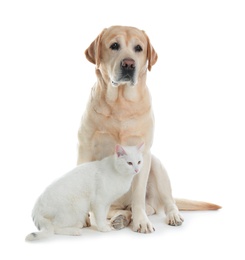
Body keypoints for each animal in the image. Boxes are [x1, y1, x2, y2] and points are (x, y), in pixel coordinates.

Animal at [76, 25, 220, 234]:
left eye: (138, 48)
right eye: (114, 45)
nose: (129, 64)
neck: (120, 102)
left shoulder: (143, 154)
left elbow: (138, 196)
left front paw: (142, 222)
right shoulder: (85, 149)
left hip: (157, 166)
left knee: (164, 202)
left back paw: (171, 215)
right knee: (118, 209)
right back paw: (121, 218)